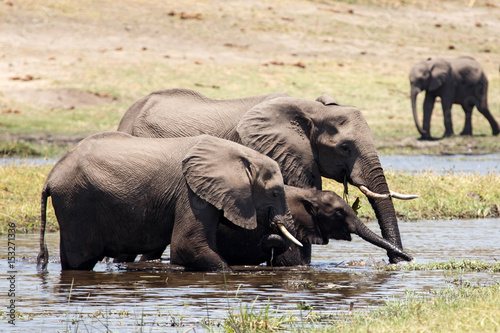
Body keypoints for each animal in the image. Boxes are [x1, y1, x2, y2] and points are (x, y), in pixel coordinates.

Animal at [37, 131, 300, 272]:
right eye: (275, 193)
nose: (273, 236)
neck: (238, 153)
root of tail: (51, 176)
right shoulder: (191, 193)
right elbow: (188, 246)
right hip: (76, 203)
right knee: (80, 261)